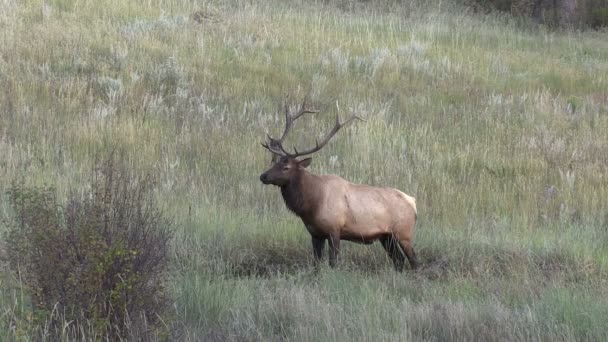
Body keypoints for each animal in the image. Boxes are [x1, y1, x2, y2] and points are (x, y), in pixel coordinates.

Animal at [258, 97, 420, 272]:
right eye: (274, 162)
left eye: (286, 167)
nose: (263, 176)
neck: (311, 205)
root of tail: (413, 202)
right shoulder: (315, 234)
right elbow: (316, 263)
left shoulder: (334, 230)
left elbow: (333, 262)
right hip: (386, 236)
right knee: (399, 259)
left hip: (404, 232)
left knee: (413, 260)